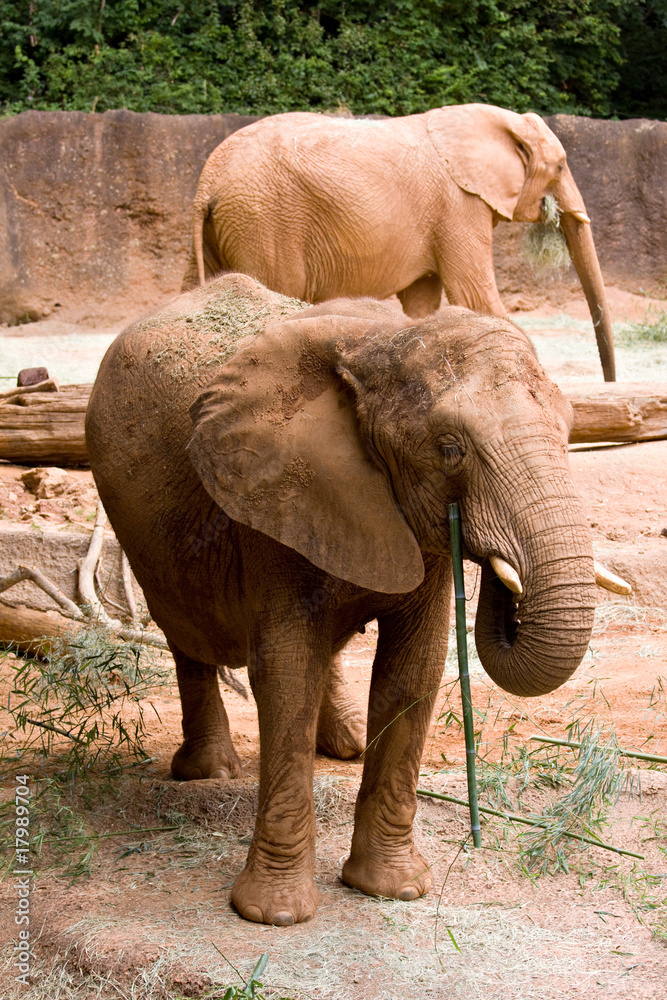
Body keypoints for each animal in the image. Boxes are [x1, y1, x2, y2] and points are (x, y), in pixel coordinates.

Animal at [86, 273, 624, 926]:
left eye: (571, 429)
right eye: (450, 449)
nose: (497, 563)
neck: (380, 347)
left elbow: (412, 671)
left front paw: (394, 890)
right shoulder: (270, 499)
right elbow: (286, 671)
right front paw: (274, 916)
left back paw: (343, 747)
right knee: (185, 634)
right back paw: (208, 772)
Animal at [182, 103, 616, 381]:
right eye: (560, 166)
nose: (611, 381)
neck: (496, 119)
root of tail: (208, 180)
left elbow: (422, 306)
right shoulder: (458, 205)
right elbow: (475, 297)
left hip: (228, 224)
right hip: (265, 221)